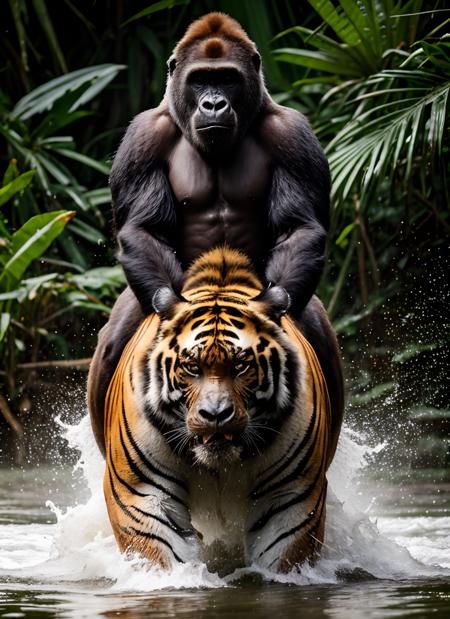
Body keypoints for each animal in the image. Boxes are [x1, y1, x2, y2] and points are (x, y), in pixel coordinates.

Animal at [89, 10, 344, 456]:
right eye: (199, 80)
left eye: (226, 79)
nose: (213, 103)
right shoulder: (144, 136)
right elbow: (142, 228)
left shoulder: (293, 134)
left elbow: (300, 226)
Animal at [93, 245, 342, 572]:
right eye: (192, 367)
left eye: (240, 366)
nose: (215, 415)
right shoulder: (142, 489)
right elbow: (159, 552)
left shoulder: (291, 495)